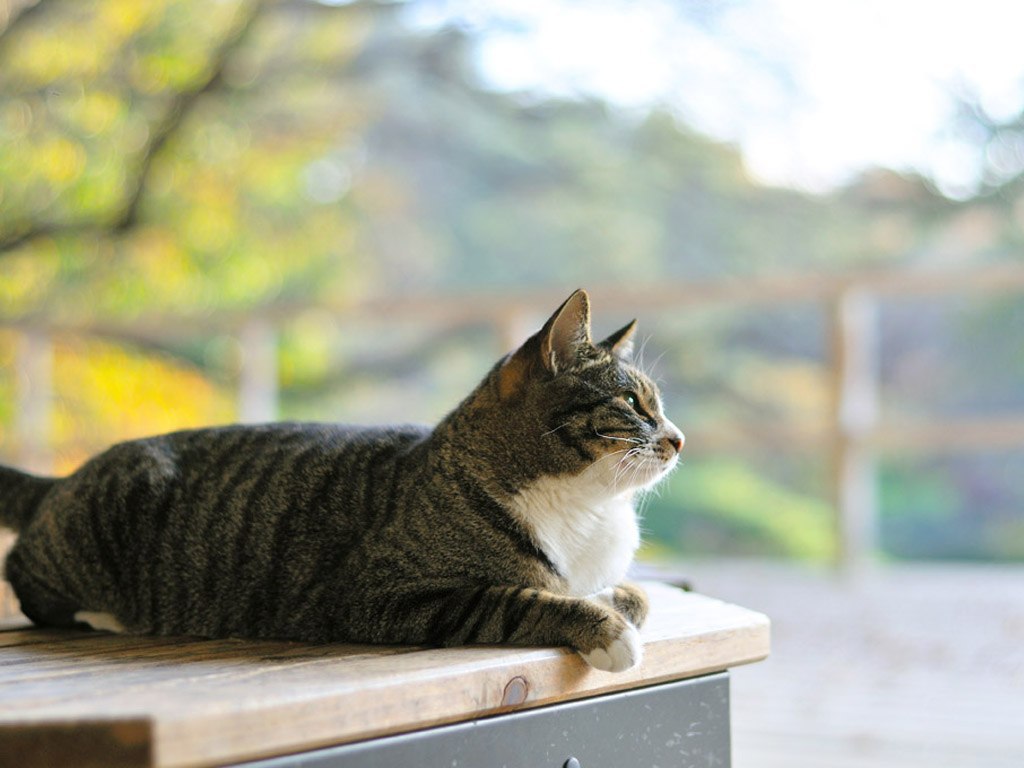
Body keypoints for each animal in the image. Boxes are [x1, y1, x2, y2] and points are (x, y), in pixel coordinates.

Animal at [4, 288, 688, 671]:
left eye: (656, 404)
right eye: (633, 404)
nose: (679, 437)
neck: (585, 510)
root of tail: (63, 479)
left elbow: (634, 592)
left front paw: (608, 602)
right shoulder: (383, 595)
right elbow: (514, 599)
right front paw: (605, 631)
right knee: (27, 581)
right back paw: (103, 616)